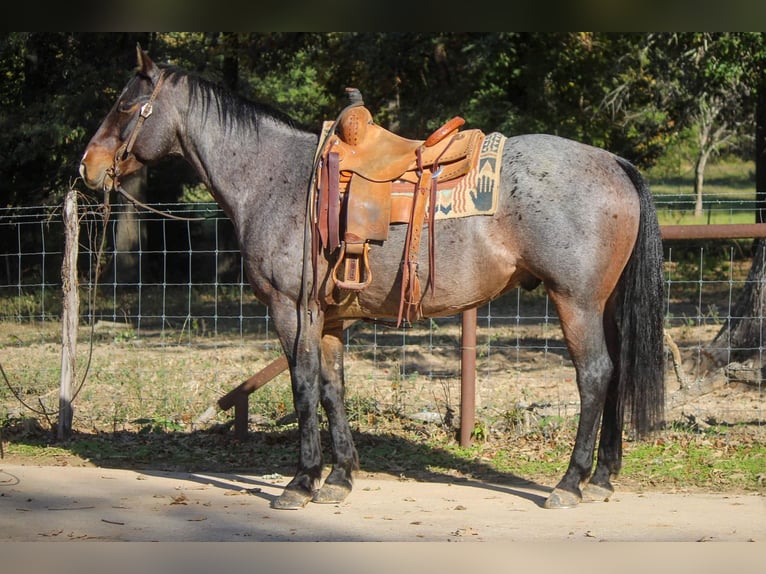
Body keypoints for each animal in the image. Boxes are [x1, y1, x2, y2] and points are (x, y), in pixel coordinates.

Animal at [79, 46, 664, 512]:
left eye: (126, 106)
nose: (88, 166)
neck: (275, 179)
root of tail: (613, 161)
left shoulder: (291, 310)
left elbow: (303, 387)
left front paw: (300, 481)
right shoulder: (330, 318)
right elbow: (333, 388)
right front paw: (340, 476)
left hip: (575, 302)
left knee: (594, 376)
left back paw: (569, 483)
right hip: (603, 305)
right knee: (615, 373)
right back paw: (603, 476)